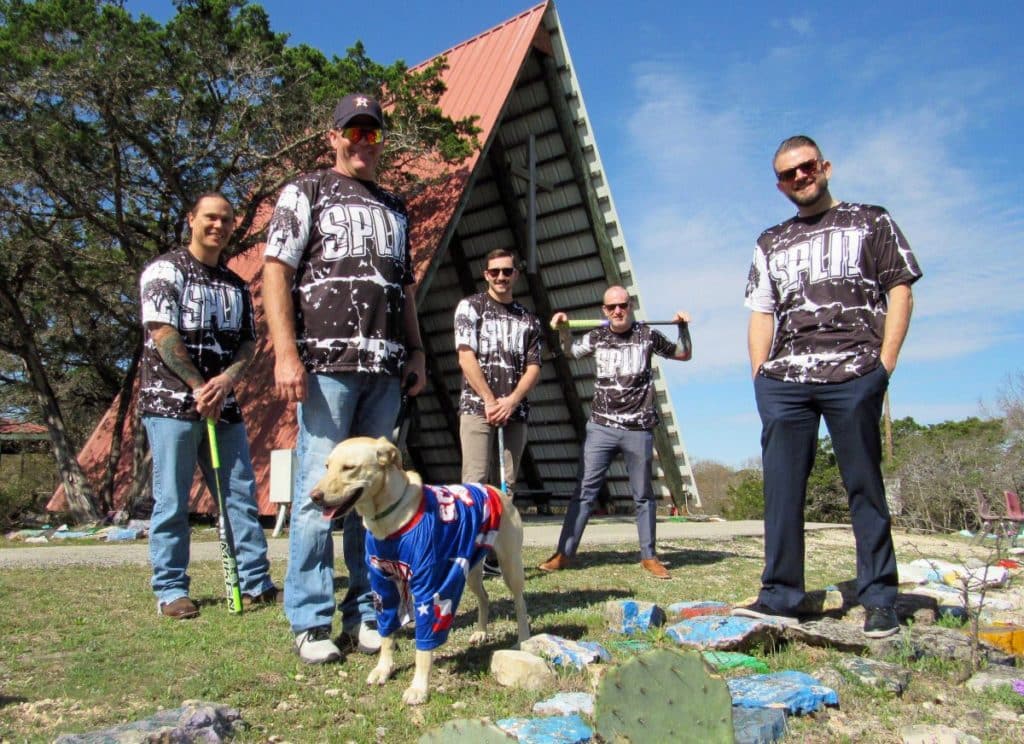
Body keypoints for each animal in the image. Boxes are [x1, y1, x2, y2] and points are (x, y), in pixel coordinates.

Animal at [309, 433, 532, 708]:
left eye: (349, 468)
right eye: (327, 466)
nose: (314, 496)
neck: (389, 519)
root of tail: (494, 489)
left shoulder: (429, 590)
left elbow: (423, 647)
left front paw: (419, 687)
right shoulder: (383, 587)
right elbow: (386, 635)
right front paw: (383, 669)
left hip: (510, 565)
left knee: (520, 602)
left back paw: (523, 639)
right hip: (469, 569)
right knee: (485, 597)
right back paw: (481, 633)